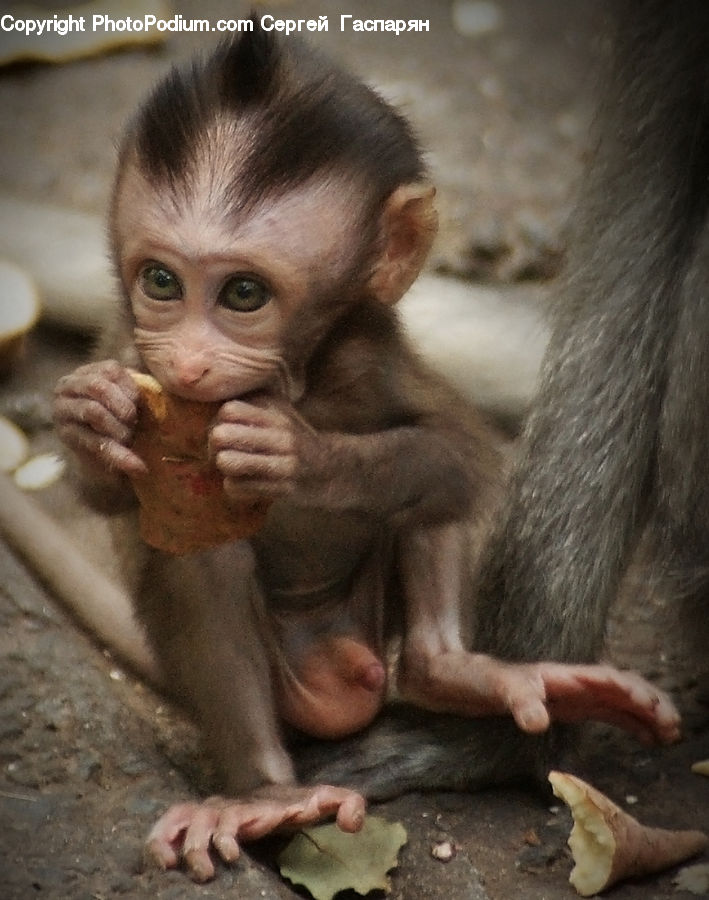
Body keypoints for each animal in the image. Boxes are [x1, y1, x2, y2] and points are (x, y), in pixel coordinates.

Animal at [48, 20, 680, 884]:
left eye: (243, 294)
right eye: (161, 281)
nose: (190, 365)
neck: (296, 374)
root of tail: (340, 682)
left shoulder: (369, 350)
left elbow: (455, 448)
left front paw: (294, 451)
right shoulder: (127, 342)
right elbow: (120, 493)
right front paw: (89, 415)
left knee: (435, 494)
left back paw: (454, 673)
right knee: (202, 553)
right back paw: (263, 793)